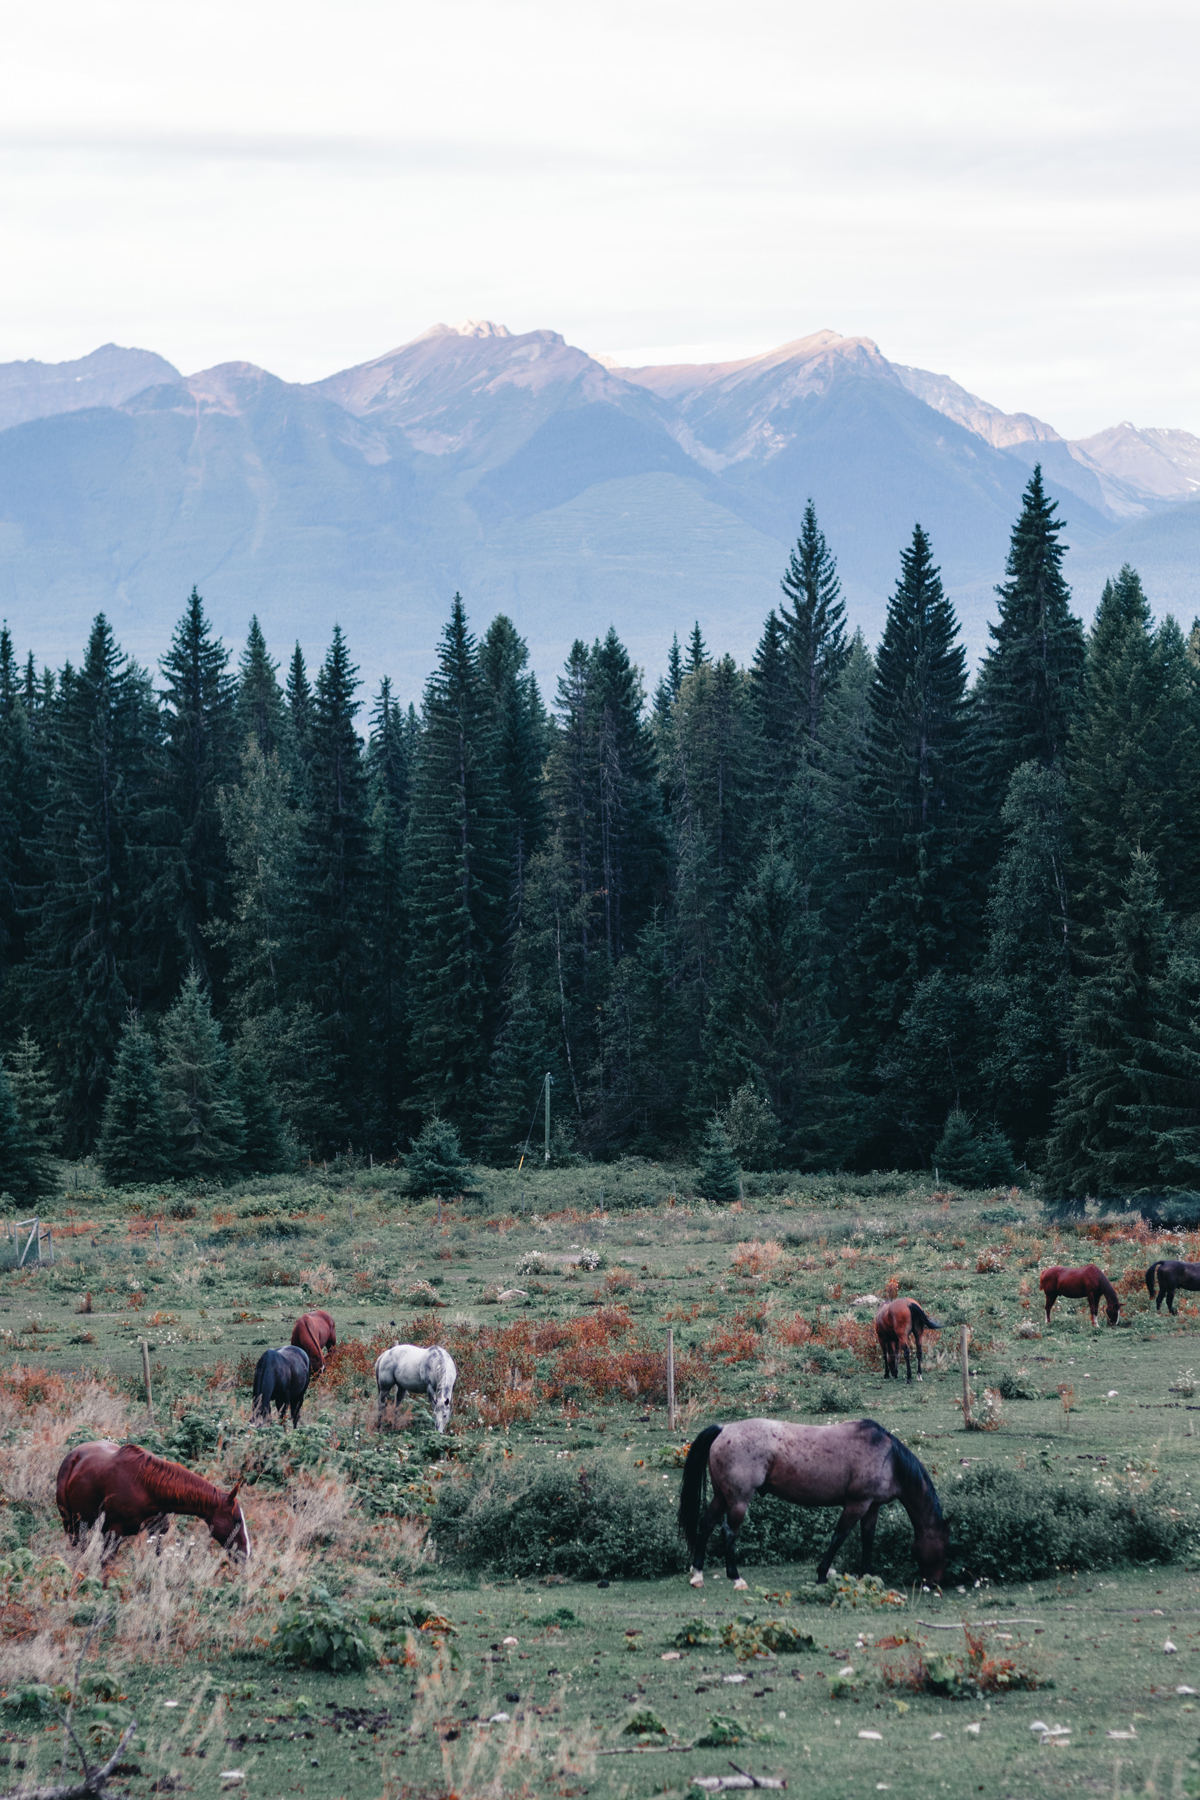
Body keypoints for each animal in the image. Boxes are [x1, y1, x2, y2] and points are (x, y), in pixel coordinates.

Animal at [57, 1432, 250, 1562]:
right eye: (236, 1521)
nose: (246, 1553)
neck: (147, 1488)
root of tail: (73, 1454)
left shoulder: (158, 1532)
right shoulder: (114, 1533)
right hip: (71, 1523)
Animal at [676, 1418, 949, 1591]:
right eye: (943, 1546)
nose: (934, 1582)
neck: (888, 1458)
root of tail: (724, 1429)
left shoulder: (872, 1507)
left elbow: (867, 1538)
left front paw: (867, 1575)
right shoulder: (856, 1504)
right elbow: (839, 1536)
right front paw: (821, 1574)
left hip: (722, 1497)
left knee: (707, 1524)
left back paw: (697, 1574)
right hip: (738, 1501)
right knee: (728, 1532)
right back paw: (736, 1578)